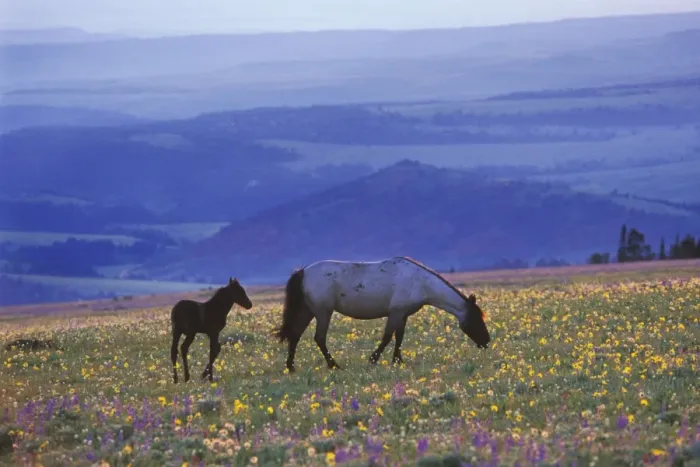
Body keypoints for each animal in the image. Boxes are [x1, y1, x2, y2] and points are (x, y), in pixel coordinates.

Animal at [273, 256, 490, 373]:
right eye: (476, 319)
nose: (487, 342)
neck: (420, 282)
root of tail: (303, 272)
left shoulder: (403, 314)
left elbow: (399, 337)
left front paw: (397, 360)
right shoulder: (395, 313)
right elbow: (387, 337)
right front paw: (373, 359)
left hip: (308, 311)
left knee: (295, 335)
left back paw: (291, 367)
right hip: (323, 312)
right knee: (319, 338)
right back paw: (334, 365)